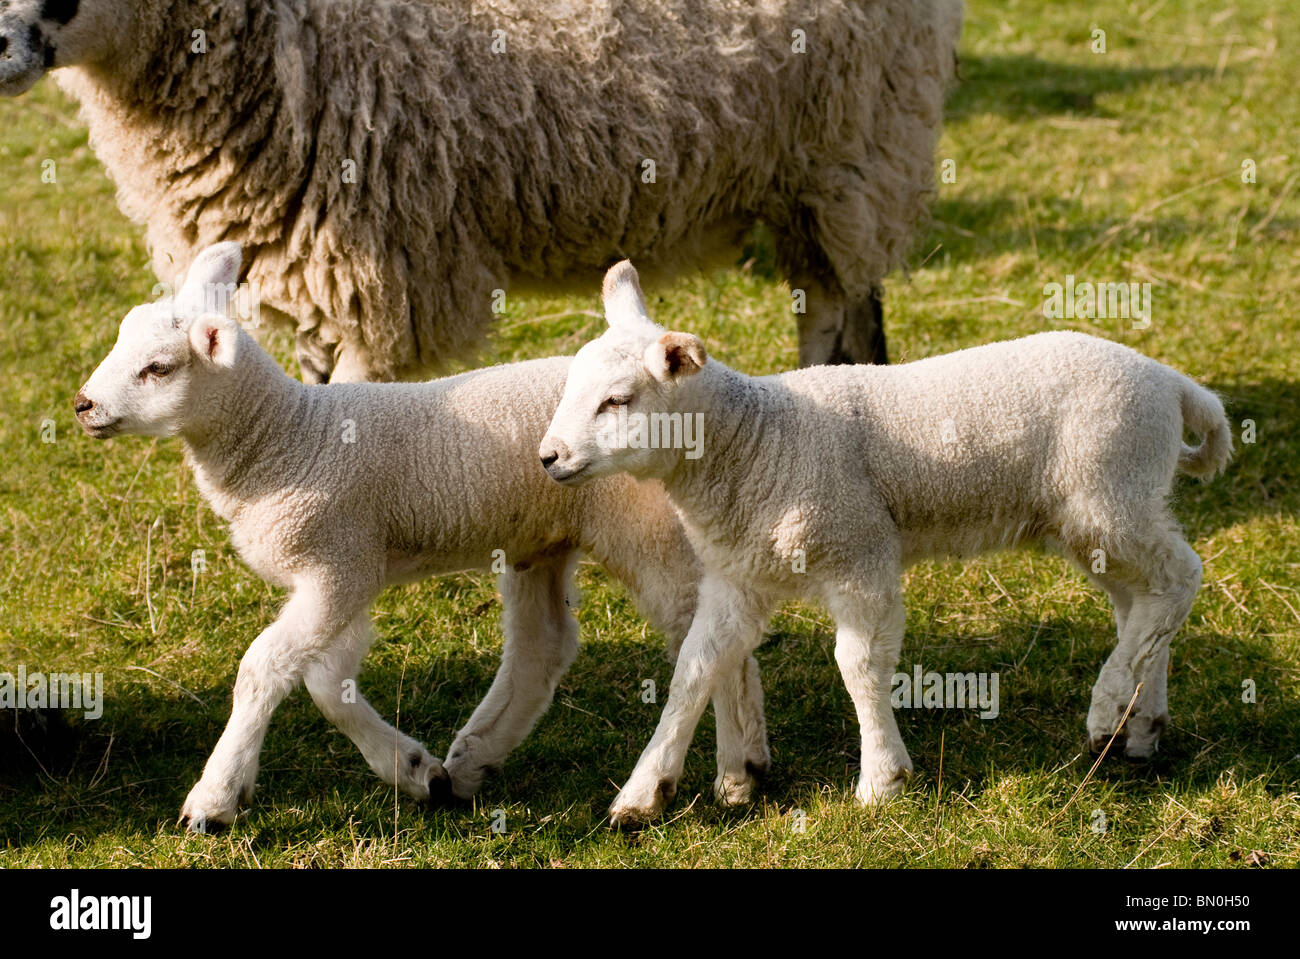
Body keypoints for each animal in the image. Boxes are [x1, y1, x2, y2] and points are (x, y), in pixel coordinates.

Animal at [73, 244, 769, 831]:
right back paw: (470, 763)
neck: (286, 438)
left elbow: (263, 667)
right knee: (542, 647)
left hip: (647, 528)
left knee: (709, 636)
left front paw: (213, 800)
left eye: (158, 367)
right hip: (540, 539)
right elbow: (327, 683)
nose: (82, 405)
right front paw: (411, 769)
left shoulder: (339, 566)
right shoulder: (339, 574)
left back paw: (739, 769)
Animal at [538, 261, 1227, 821]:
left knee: (1179, 577)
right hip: (1100, 512)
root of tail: (1173, 383)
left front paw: (882, 781)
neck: (756, 442)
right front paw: (643, 792)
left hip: (1108, 492)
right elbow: (694, 669)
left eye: (618, 400)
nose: (548, 458)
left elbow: (858, 664)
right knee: (1141, 602)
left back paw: (1108, 707)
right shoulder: (740, 576)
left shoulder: (858, 553)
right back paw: (1139, 726)